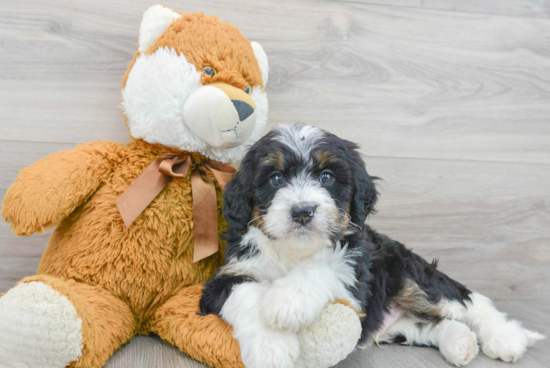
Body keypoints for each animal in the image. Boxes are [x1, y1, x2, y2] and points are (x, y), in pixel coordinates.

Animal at [198, 124, 544, 368]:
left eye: (326, 177)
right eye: (276, 179)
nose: (302, 211)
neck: (295, 251)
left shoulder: (357, 273)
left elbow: (324, 268)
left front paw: (287, 300)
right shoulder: (227, 275)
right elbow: (244, 293)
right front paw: (271, 347)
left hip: (409, 276)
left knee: (467, 301)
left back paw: (506, 338)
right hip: (397, 322)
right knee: (432, 324)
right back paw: (460, 342)